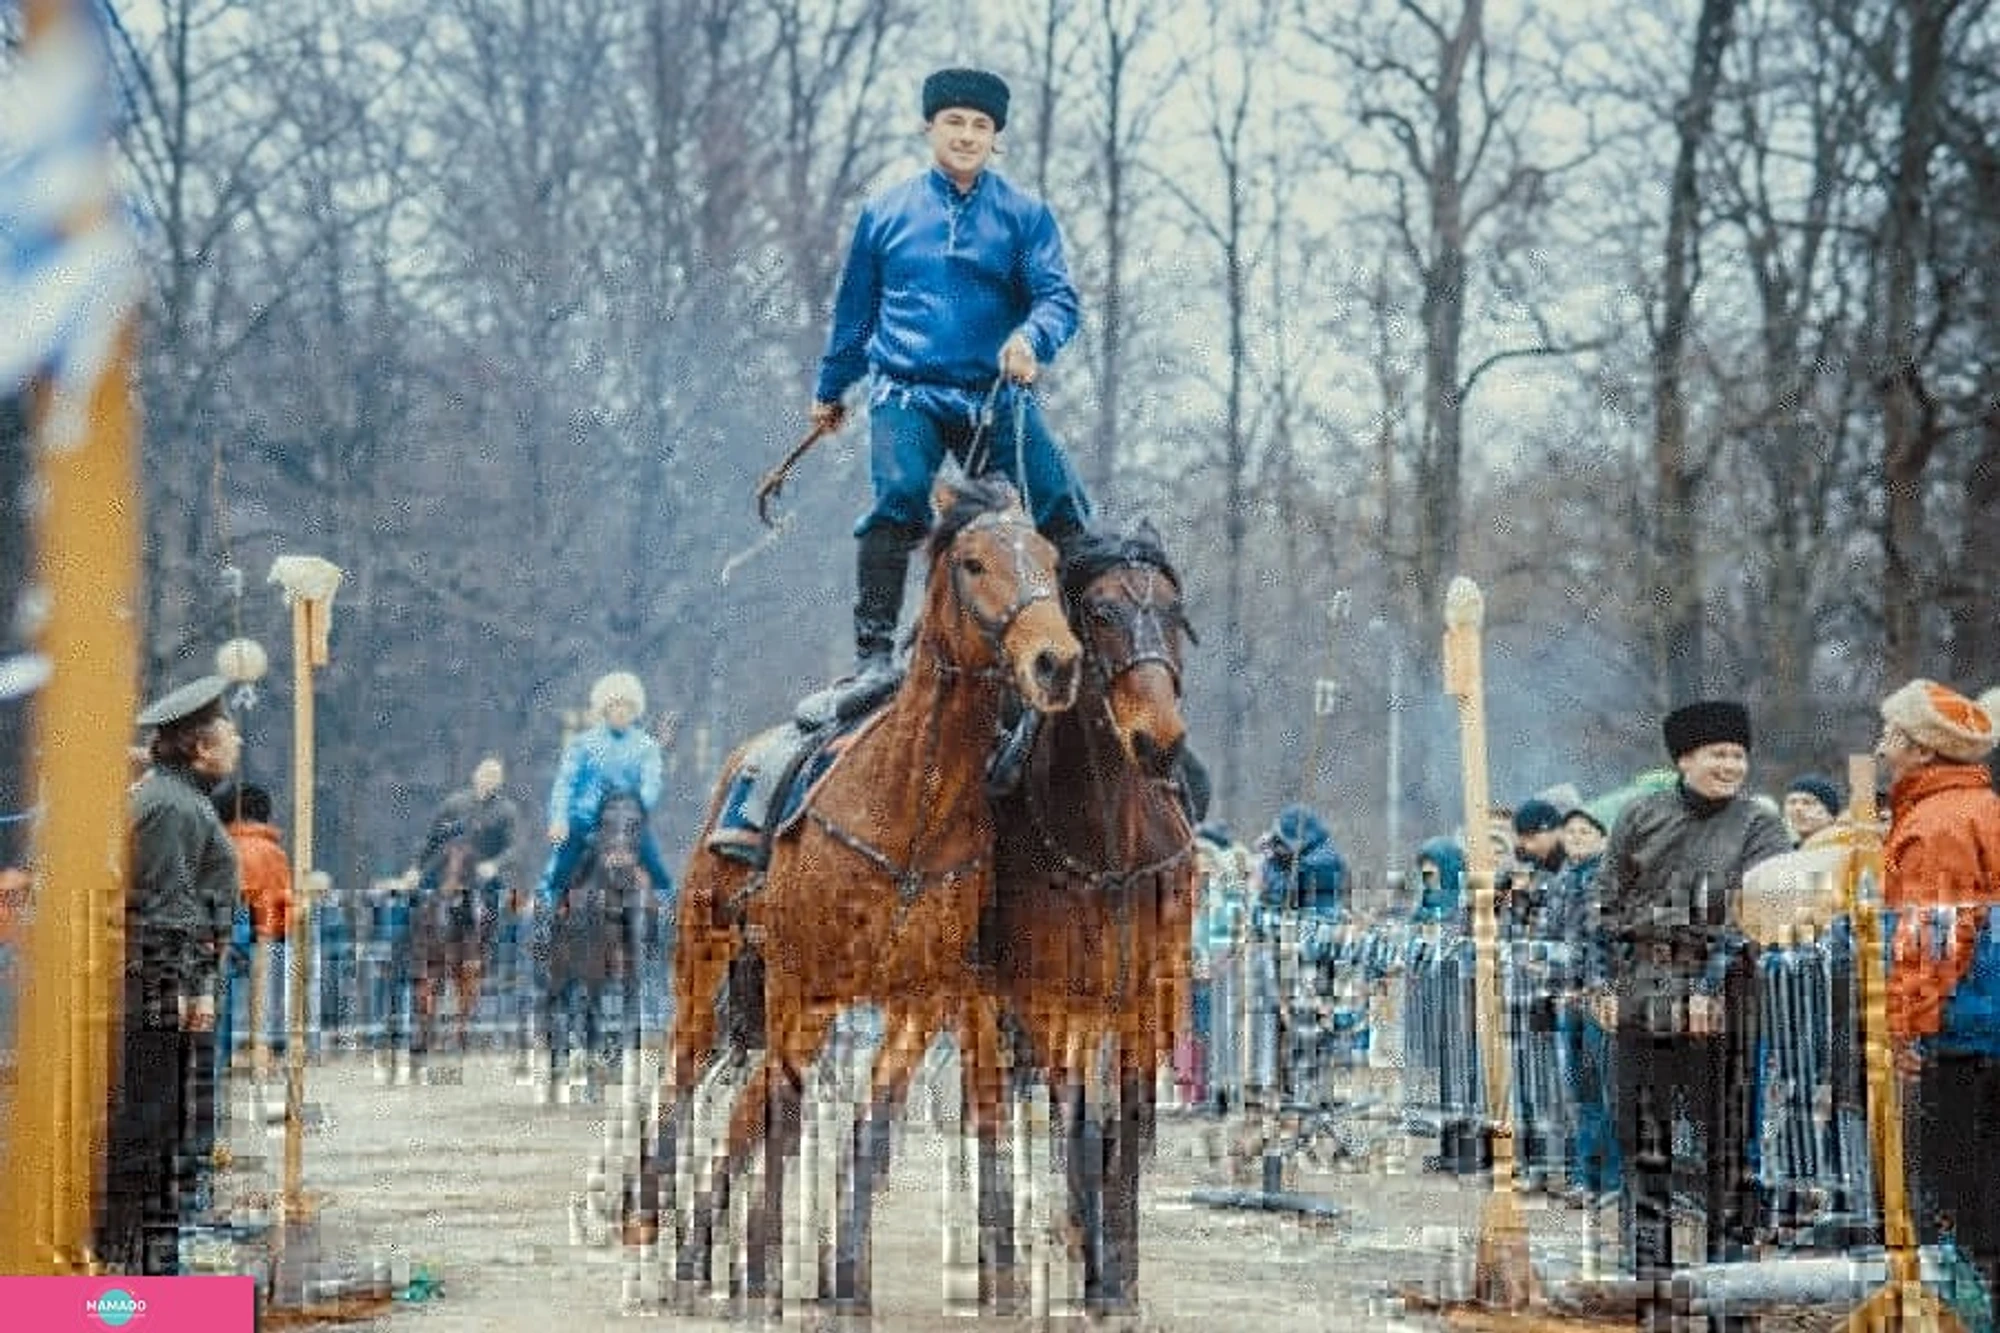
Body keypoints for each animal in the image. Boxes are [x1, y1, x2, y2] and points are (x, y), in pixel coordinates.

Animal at [537, 789, 654, 1104]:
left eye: (635, 823)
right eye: (605, 822)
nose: (619, 868)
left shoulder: (632, 975)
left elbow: (629, 1021)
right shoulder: (592, 974)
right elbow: (593, 1022)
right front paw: (594, 1086)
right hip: (559, 973)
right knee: (556, 1014)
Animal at [629, 474, 1081, 1314]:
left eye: (1049, 556)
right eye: (973, 562)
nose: (1055, 660)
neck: (911, 807)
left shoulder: (920, 999)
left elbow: (866, 1127)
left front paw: (842, 1276)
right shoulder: (804, 986)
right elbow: (782, 1110)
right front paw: (763, 1267)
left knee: (743, 1108)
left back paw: (700, 1249)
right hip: (708, 962)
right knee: (687, 1071)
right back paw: (650, 1215)